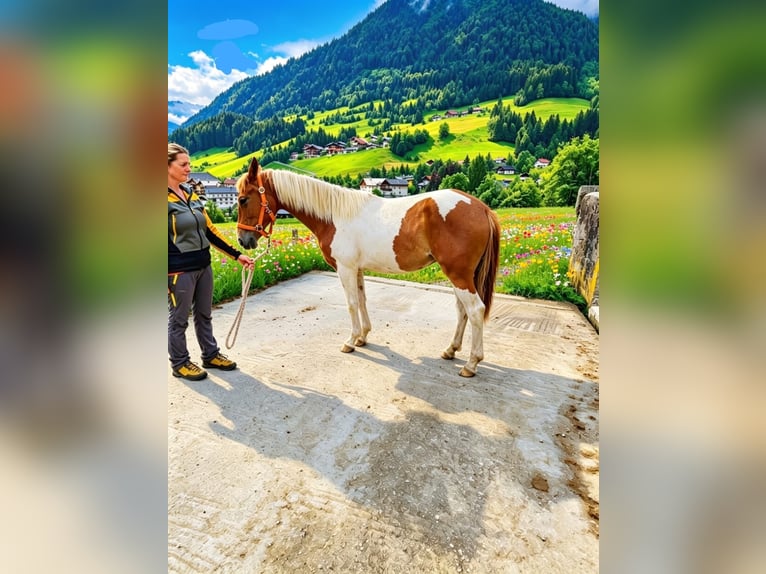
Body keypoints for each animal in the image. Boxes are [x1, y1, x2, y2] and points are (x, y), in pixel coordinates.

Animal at [236, 158, 500, 377]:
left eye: (243, 199)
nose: (242, 240)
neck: (334, 216)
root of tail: (481, 207)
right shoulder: (358, 269)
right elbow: (362, 301)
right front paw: (363, 337)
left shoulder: (345, 268)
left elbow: (351, 304)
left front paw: (351, 341)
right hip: (461, 275)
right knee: (463, 311)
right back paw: (451, 350)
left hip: (458, 275)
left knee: (475, 310)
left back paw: (471, 364)